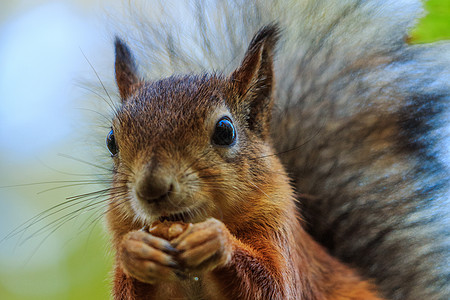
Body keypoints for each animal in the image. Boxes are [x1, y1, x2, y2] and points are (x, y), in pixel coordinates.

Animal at [103, 0, 448, 300]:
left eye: (225, 131)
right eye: (111, 141)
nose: (151, 188)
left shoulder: (278, 232)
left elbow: (273, 286)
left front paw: (215, 241)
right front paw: (136, 251)